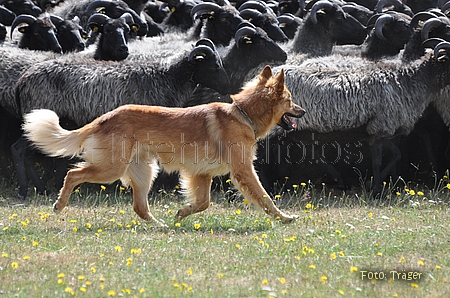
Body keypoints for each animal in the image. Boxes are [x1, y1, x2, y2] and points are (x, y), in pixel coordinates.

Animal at [22, 64, 308, 224]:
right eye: (291, 100)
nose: (304, 111)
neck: (243, 113)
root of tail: (103, 118)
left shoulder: (201, 174)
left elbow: (203, 203)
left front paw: (182, 213)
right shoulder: (243, 170)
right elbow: (265, 197)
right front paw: (284, 218)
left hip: (144, 171)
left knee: (139, 207)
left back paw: (160, 226)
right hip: (111, 169)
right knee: (73, 174)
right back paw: (59, 205)